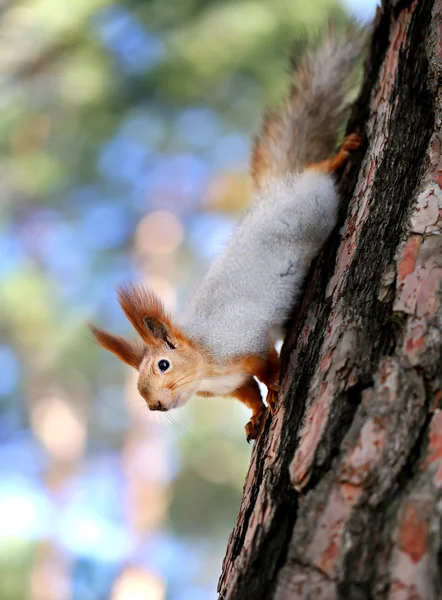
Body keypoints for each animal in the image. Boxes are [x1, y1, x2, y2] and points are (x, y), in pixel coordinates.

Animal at [88, 28, 364, 440]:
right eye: (138, 382)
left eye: (163, 365)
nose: (154, 405)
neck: (205, 363)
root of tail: (273, 192)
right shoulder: (230, 384)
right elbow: (248, 393)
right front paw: (255, 416)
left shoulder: (244, 340)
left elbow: (267, 365)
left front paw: (277, 386)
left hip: (313, 203)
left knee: (318, 174)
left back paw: (341, 154)